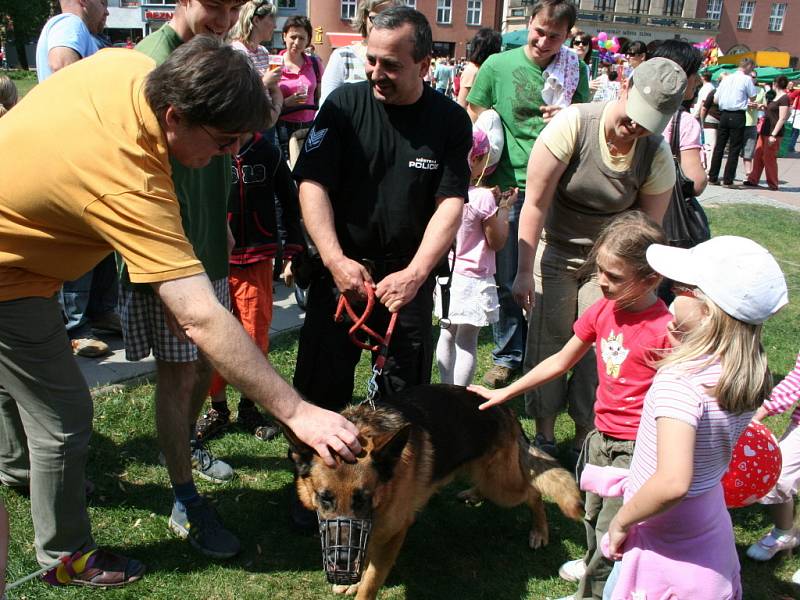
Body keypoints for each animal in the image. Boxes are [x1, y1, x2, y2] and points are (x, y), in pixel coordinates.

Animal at [288, 384, 580, 600]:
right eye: (325, 498)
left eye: (364, 499)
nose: (341, 559)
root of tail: (501, 406)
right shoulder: (370, 526)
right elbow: (364, 552)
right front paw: (353, 579)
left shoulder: (392, 531)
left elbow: (371, 581)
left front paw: (360, 584)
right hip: (485, 474)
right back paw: (474, 494)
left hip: (503, 487)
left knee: (533, 492)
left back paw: (539, 531)